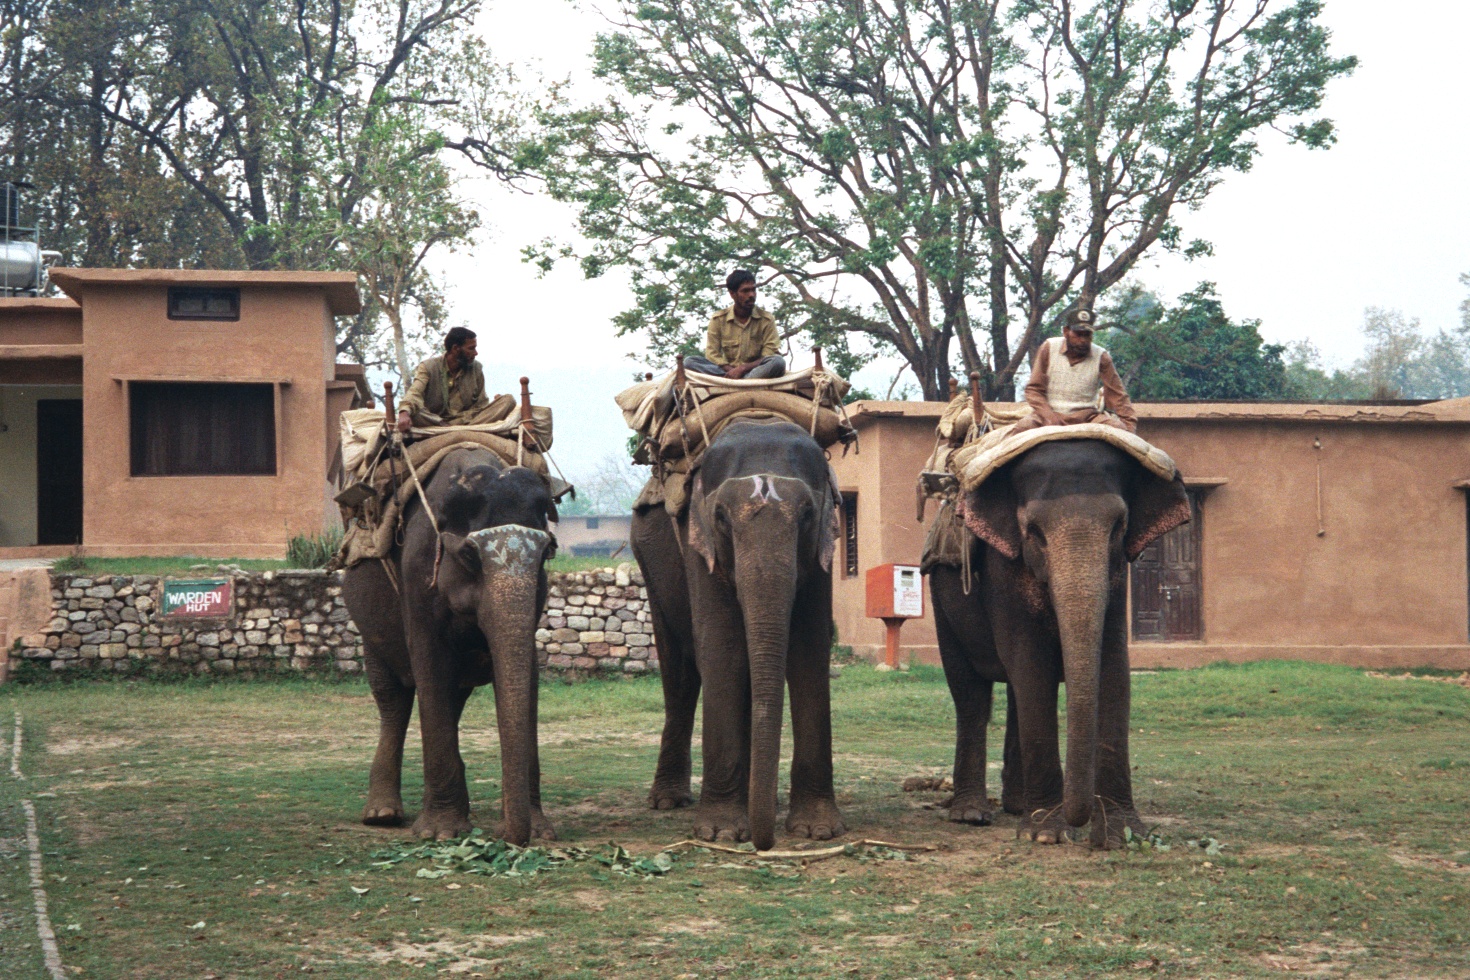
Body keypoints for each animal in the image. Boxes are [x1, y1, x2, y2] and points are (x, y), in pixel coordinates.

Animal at [343, 447, 558, 845]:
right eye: (470, 555)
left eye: (547, 553)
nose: (512, 837)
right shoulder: (417, 573)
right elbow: (429, 661)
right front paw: (441, 833)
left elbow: (526, 672)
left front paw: (540, 831)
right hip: (367, 621)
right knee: (392, 695)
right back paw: (382, 814)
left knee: (451, 695)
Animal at [633, 418, 845, 851]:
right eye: (721, 518)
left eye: (807, 514)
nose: (766, 845)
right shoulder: (699, 546)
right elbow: (722, 648)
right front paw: (722, 833)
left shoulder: (822, 551)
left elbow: (809, 649)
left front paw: (818, 831)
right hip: (651, 564)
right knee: (680, 673)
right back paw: (668, 800)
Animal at [938, 438, 1189, 848]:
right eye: (1033, 532)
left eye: (1119, 527)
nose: (1080, 823)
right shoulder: (1003, 570)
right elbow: (1031, 666)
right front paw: (1044, 835)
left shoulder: (1117, 579)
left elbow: (1113, 668)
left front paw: (1121, 836)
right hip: (943, 608)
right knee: (970, 694)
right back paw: (971, 814)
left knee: (1012, 693)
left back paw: (1015, 806)